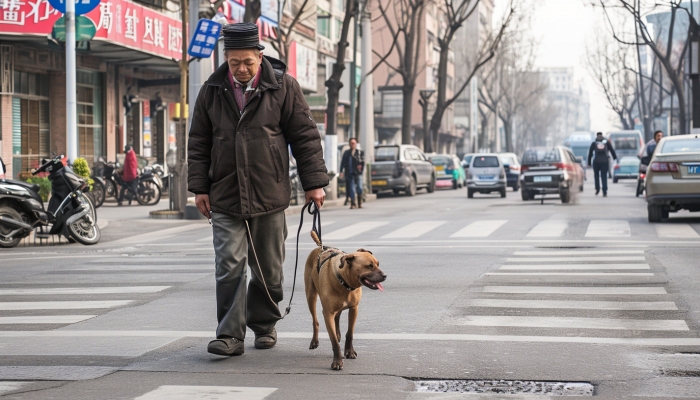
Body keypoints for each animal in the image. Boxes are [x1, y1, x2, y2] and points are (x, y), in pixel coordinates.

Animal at [304, 238, 386, 372]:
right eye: (369, 266)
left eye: (378, 264)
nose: (385, 276)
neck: (344, 282)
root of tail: (320, 246)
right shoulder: (328, 314)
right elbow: (334, 342)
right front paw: (337, 362)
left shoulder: (354, 309)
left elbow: (350, 333)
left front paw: (349, 351)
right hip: (310, 295)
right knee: (315, 320)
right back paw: (315, 341)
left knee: (337, 317)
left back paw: (338, 334)